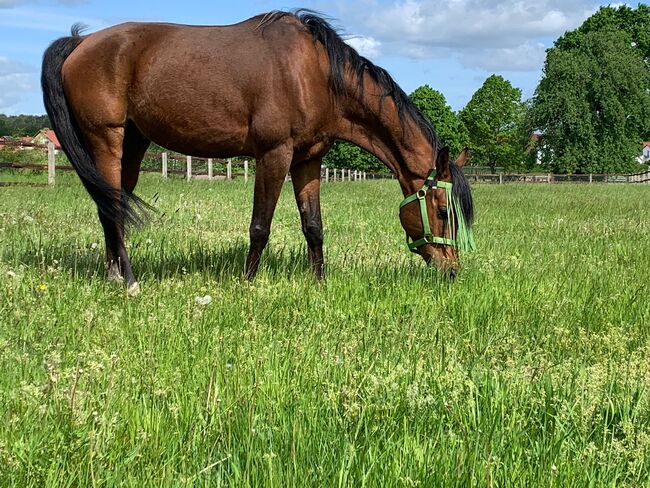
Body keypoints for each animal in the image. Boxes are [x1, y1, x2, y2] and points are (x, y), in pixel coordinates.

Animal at [41, 10, 476, 294]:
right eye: (442, 211)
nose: (452, 270)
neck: (315, 74)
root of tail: (81, 42)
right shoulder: (274, 155)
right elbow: (260, 226)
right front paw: (248, 284)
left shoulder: (308, 160)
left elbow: (313, 226)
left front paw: (319, 284)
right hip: (106, 139)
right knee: (112, 207)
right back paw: (129, 282)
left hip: (133, 143)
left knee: (110, 206)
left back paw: (114, 275)